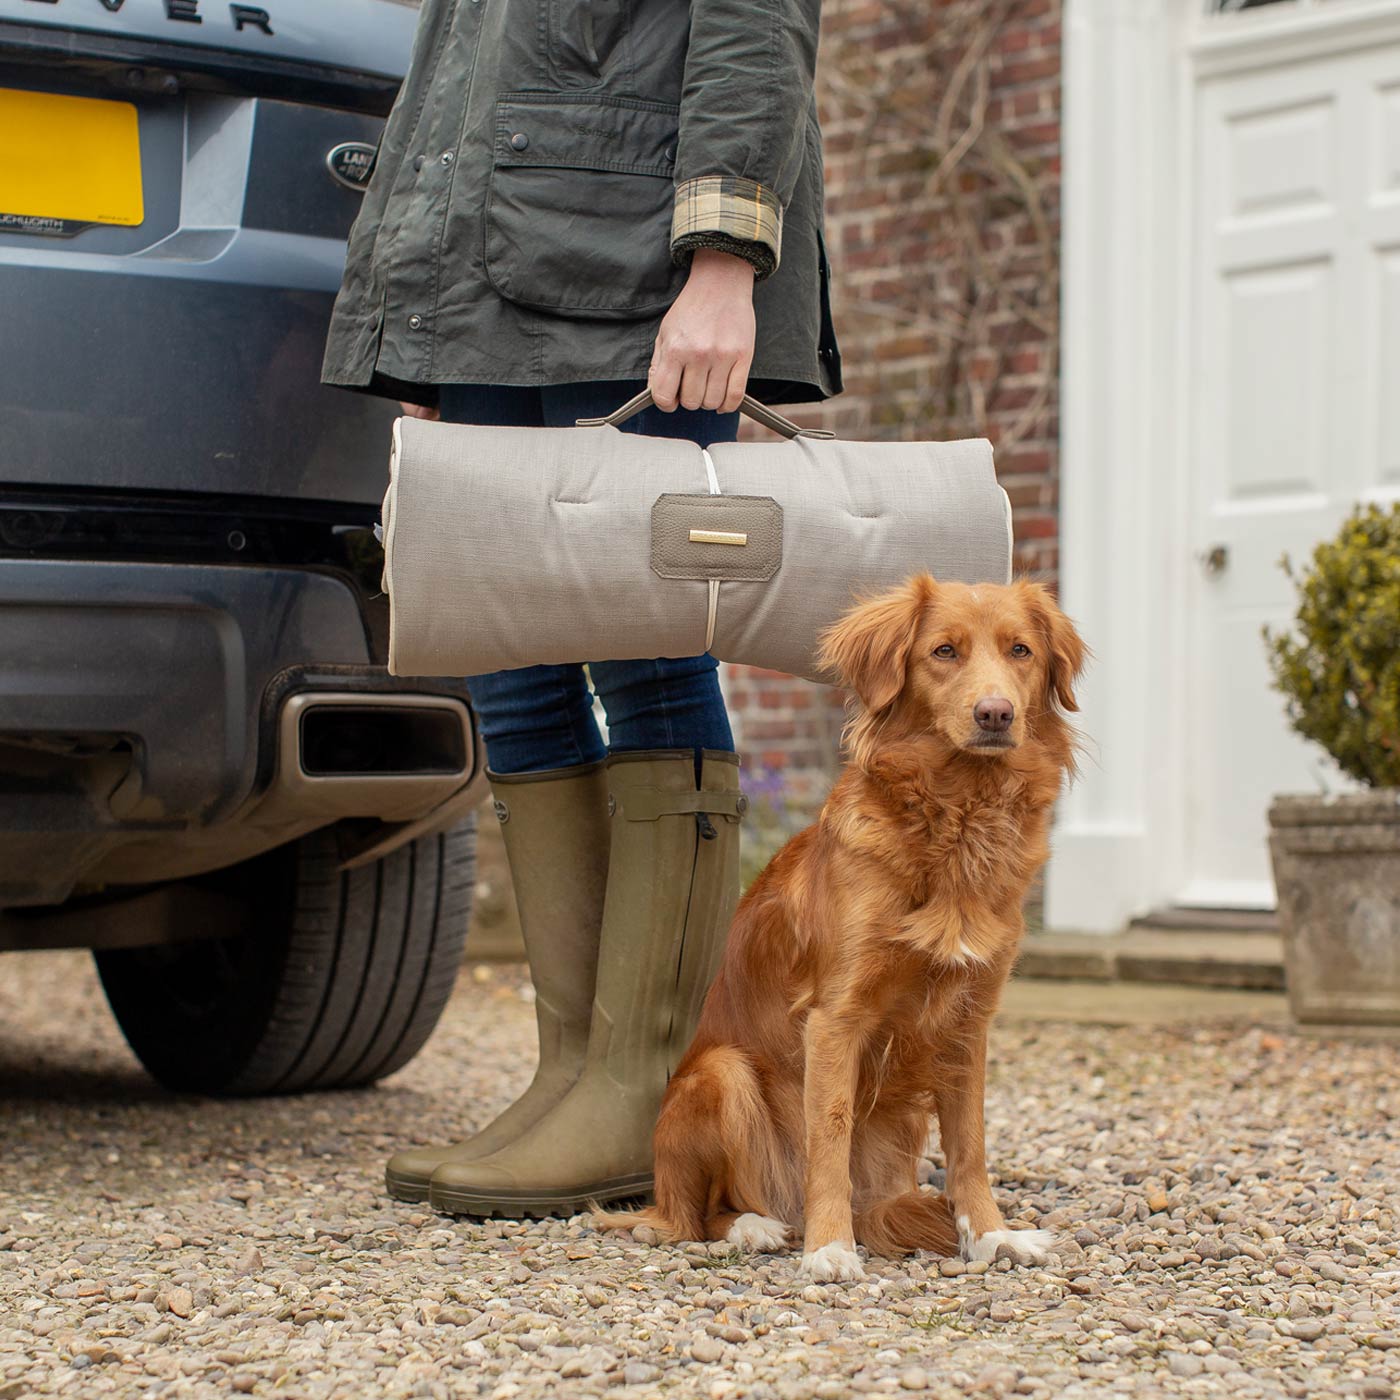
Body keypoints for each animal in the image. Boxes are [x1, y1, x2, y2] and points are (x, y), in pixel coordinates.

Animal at [596, 576, 1086, 1282]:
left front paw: (993, 1236)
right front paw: (830, 1249)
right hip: (722, 1074)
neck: (956, 815)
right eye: (944, 651)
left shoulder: (969, 1024)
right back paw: (760, 1226)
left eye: (1020, 650)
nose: (996, 713)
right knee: (695, 1217)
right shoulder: (835, 1018)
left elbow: (970, 1146)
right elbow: (828, 1135)